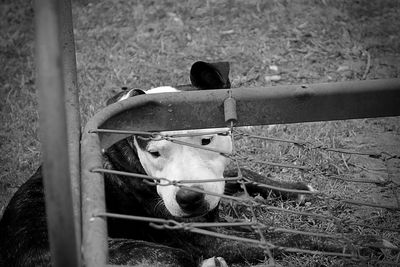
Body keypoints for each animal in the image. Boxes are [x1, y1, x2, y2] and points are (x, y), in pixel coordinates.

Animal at [0, 61, 312, 266]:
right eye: (154, 153)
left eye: (207, 140)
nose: (189, 198)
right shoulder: (208, 237)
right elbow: (281, 237)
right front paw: (324, 242)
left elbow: (241, 172)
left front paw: (295, 189)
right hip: (153, 253)